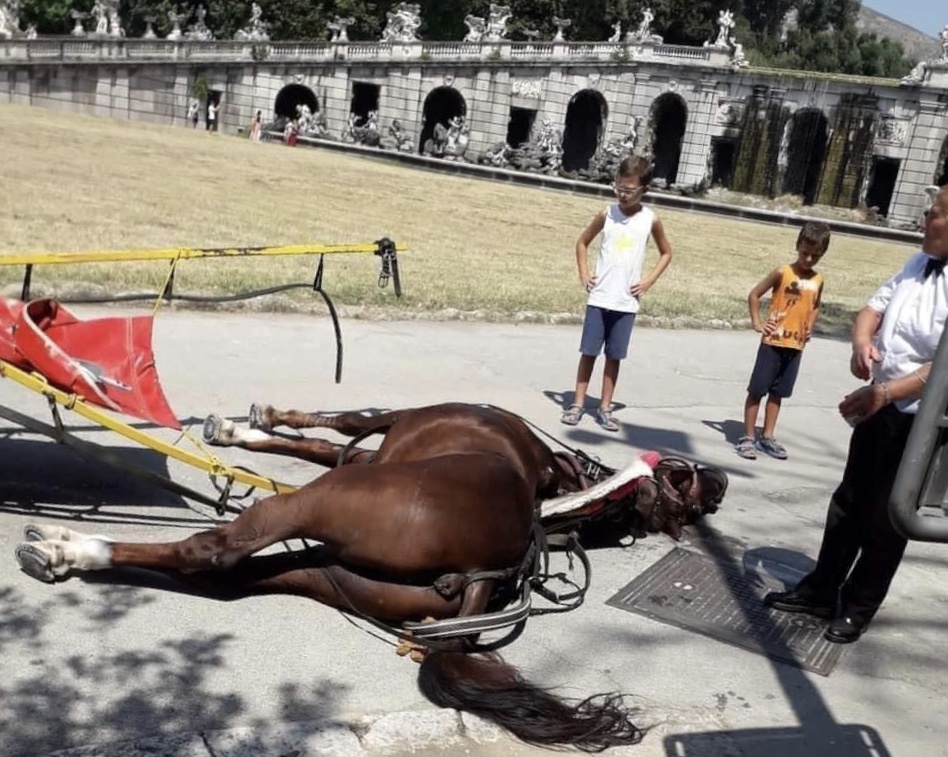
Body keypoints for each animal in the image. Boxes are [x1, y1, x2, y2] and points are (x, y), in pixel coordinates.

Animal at [14, 402, 724, 752]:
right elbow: (318, 445)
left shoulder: (385, 431)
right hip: (324, 573)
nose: (717, 482)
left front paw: (246, 423)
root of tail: (480, 572)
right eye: (686, 482)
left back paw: (69, 549)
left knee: (213, 552)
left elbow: (339, 427)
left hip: (314, 506)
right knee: (231, 578)